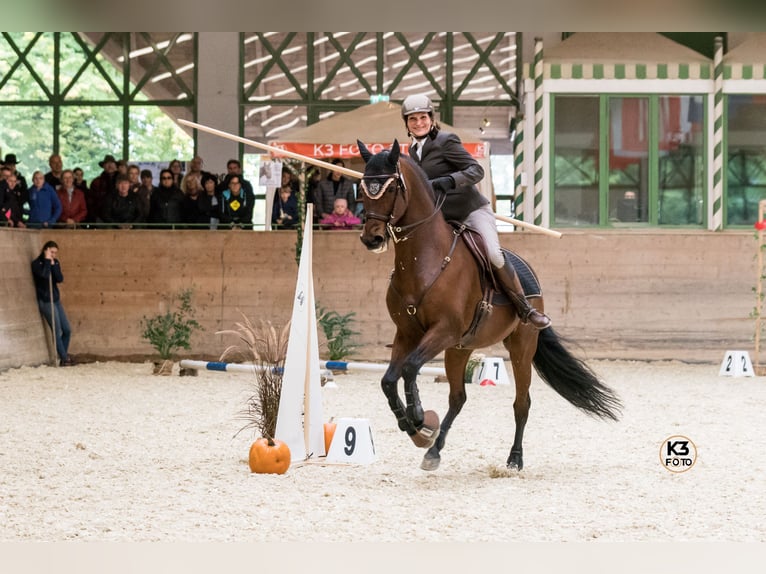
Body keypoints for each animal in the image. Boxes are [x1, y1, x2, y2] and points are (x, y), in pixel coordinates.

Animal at [356, 138, 620, 472]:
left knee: (522, 403)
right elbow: (389, 380)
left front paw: (418, 419)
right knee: (458, 398)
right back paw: (434, 451)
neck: (423, 259)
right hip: (460, 349)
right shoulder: (406, 333)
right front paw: (414, 427)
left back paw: (515, 458)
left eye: (391, 188)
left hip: (521, 346)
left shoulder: (443, 330)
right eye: (362, 187)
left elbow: (410, 367)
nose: (372, 239)